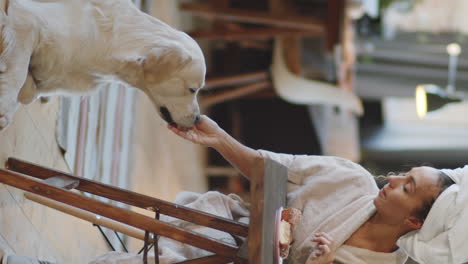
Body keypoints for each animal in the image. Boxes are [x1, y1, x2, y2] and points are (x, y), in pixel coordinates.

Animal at [0, 0, 205, 130]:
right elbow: (18, 73)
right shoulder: (28, 18)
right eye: (192, 90)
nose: (197, 119)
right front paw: (5, 108)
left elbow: (29, 92)